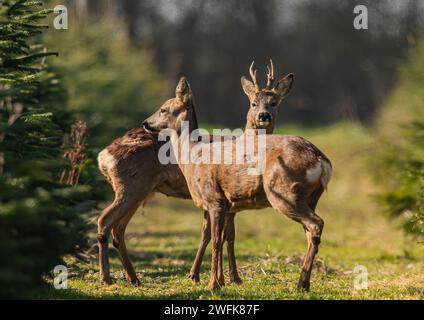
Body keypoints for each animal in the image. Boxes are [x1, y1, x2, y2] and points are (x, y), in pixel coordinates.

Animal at [97, 62, 294, 284]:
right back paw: (106, 277)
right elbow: (218, 236)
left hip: (138, 191)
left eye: (274, 103)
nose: (263, 116)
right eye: (253, 103)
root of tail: (103, 155)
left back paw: (132, 278)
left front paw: (223, 277)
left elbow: (223, 236)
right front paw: (217, 277)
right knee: (105, 222)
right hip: (131, 187)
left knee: (118, 229)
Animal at [142, 74, 332, 290]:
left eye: (163, 109)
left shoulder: (214, 199)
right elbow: (224, 237)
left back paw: (301, 284)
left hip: (283, 192)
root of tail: (320, 159)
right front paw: (221, 281)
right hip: (310, 197)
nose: (145, 123)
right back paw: (303, 283)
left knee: (316, 223)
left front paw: (212, 284)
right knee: (309, 231)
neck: (193, 155)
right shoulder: (228, 204)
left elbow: (215, 240)